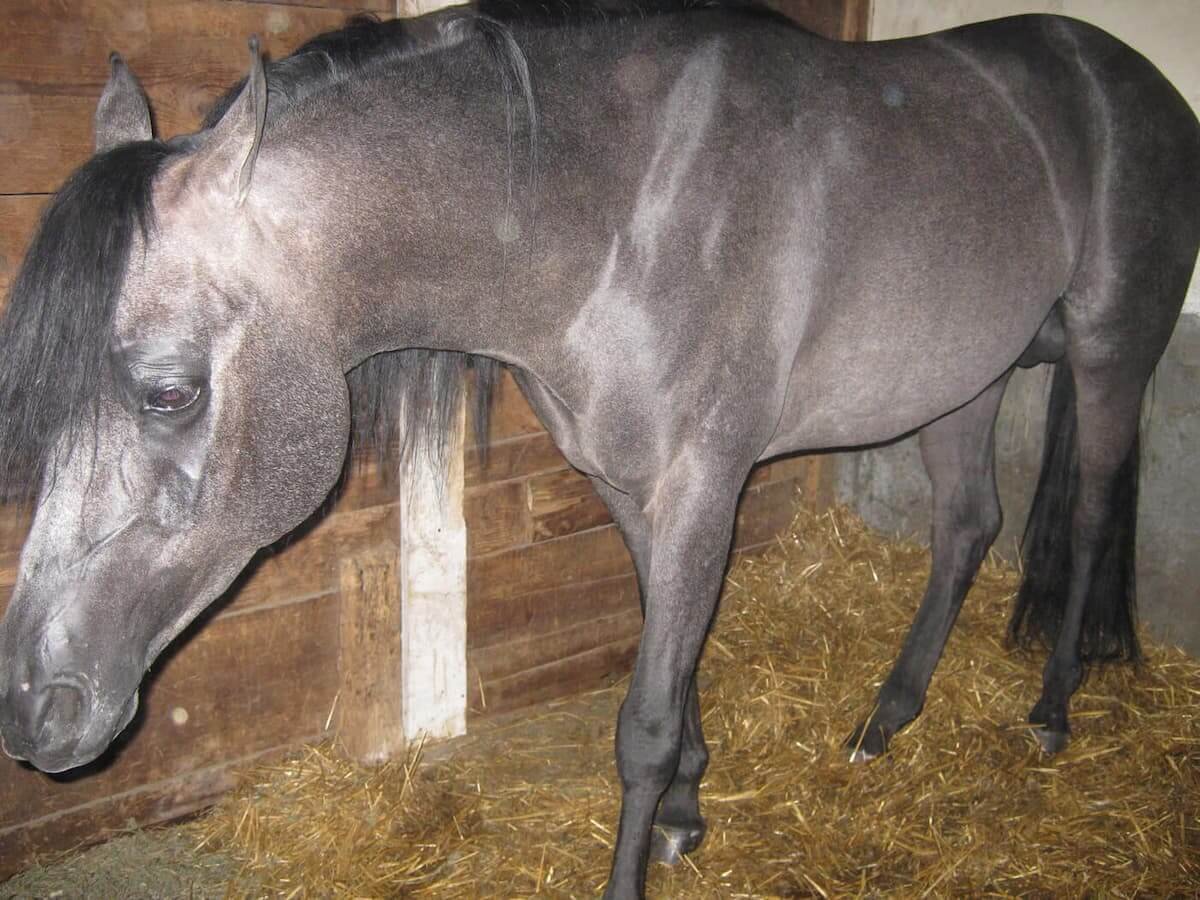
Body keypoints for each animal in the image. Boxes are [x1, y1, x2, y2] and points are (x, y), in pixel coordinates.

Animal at [2, 7, 1200, 900]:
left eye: (168, 393)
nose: (32, 709)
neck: (615, 206)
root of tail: (1138, 82)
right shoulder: (632, 488)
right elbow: (676, 662)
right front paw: (687, 812)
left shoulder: (701, 486)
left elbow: (646, 721)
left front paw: (650, 838)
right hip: (962, 379)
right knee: (966, 530)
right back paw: (883, 721)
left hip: (1108, 358)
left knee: (1089, 518)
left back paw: (1050, 714)